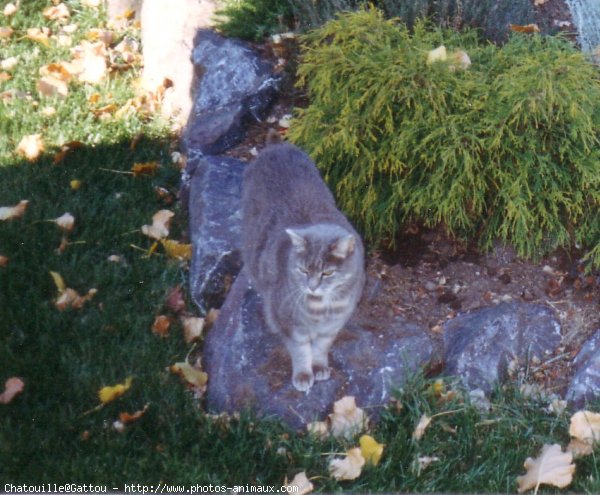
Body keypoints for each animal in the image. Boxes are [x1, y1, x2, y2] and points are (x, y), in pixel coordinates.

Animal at [240, 135, 364, 392]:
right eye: (304, 270)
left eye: (327, 273)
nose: (312, 286)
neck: (323, 308)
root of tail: (277, 146)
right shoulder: (292, 325)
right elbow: (300, 350)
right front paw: (304, 374)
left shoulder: (332, 326)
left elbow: (320, 348)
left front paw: (319, 367)